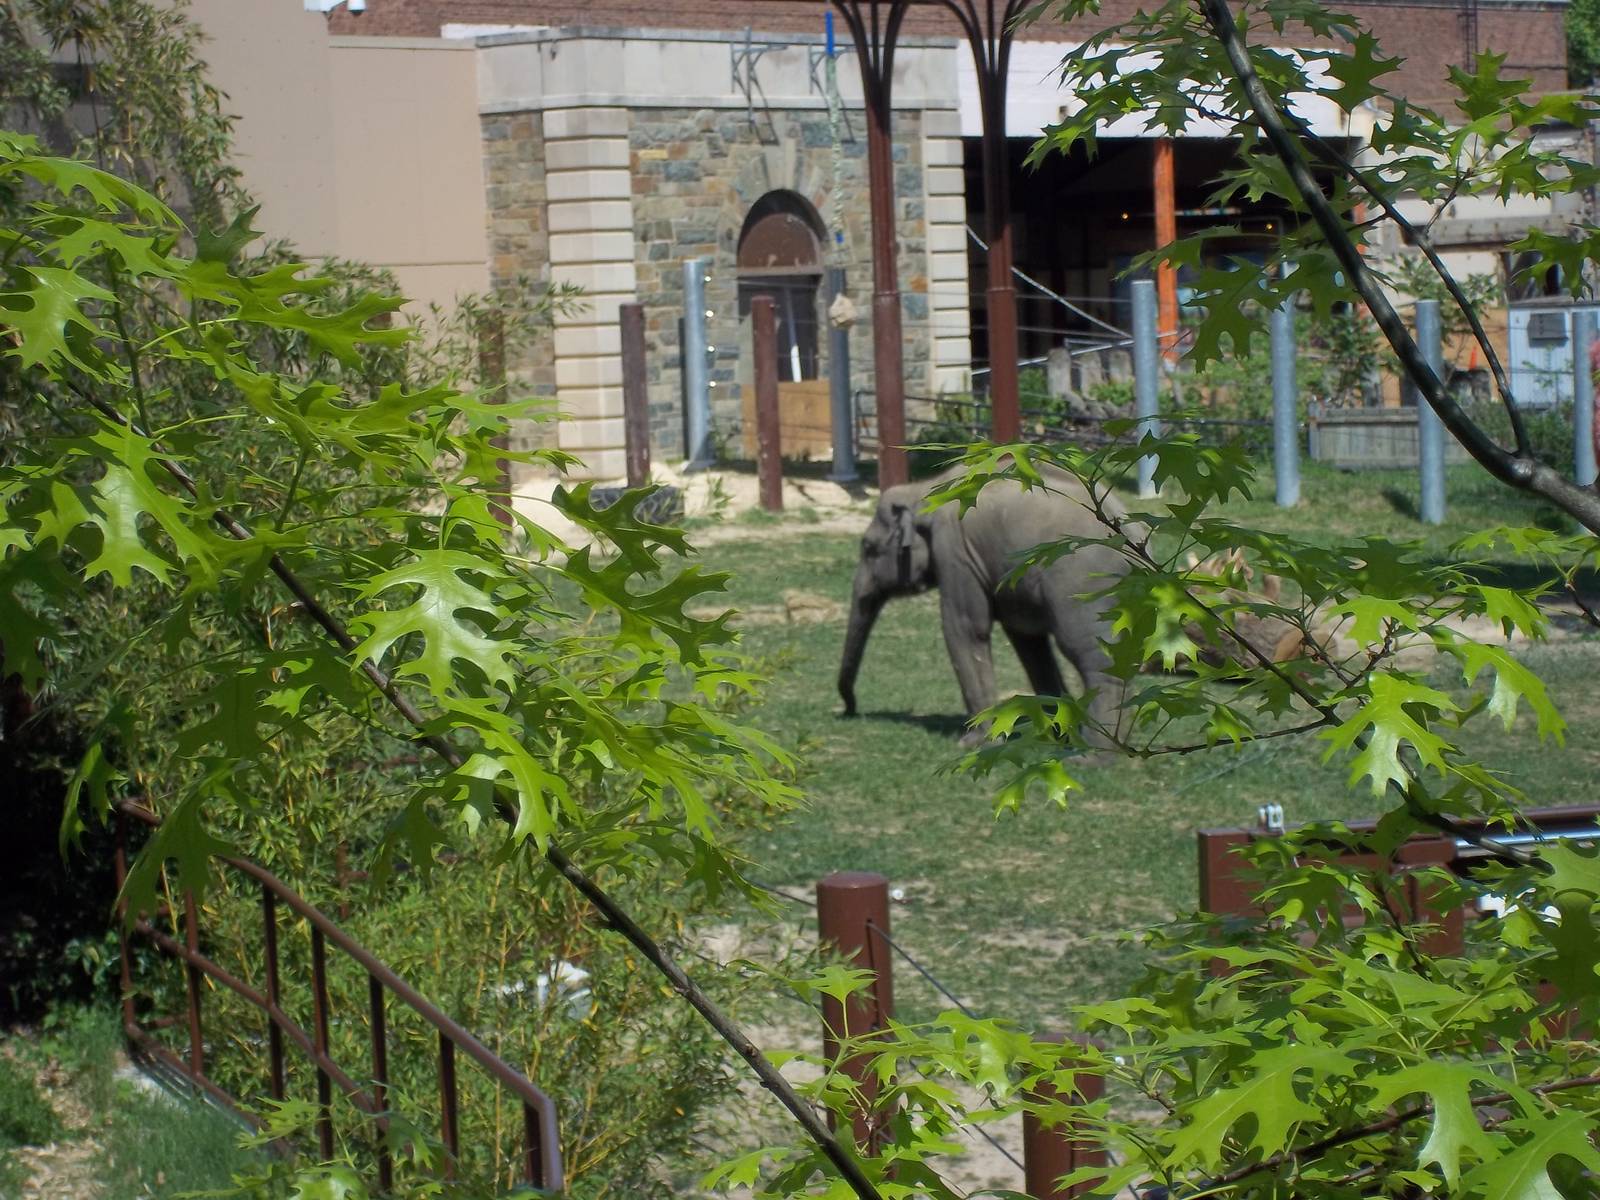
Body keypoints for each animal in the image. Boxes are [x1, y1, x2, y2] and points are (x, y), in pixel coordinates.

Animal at [837, 465, 1130, 741]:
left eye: (869, 548)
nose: (848, 710)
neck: (923, 490)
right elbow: (1028, 642)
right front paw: (1054, 733)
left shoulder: (956, 551)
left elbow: (965, 628)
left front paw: (976, 742)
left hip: (1082, 585)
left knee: (1092, 656)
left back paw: (1092, 755)